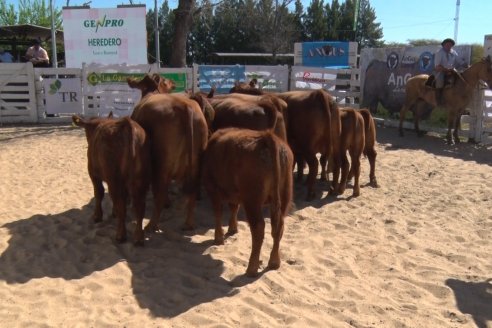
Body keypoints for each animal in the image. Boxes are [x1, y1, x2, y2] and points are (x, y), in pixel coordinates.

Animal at [72, 114, 150, 245]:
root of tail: (126, 123)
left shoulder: (93, 174)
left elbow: (99, 193)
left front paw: (97, 216)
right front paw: (113, 212)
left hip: (115, 179)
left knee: (121, 204)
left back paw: (120, 235)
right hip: (141, 179)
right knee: (139, 206)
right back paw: (138, 237)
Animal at [131, 92, 208, 231]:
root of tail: (185, 105)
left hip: (162, 162)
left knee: (160, 192)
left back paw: (151, 225)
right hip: (196, 160)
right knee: (192, 191)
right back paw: (189, 224)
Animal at [203, 128, 294, 276]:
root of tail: (266, 137)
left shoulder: (212, 188)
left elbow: (218, 212)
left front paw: (218, 238)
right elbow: (234, 207)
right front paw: (232, 229)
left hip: (253, 201)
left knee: (258, 228)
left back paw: (252, 268)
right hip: (284, 195)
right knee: (278, 227)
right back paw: (274, 262)